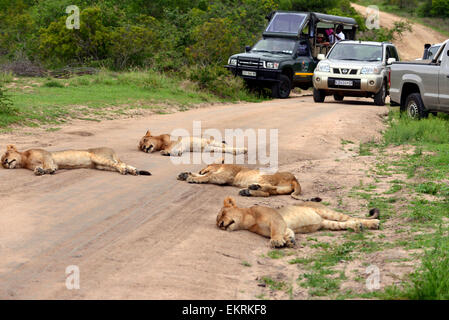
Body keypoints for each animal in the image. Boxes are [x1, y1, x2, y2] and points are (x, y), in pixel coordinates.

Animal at [216, 198, 378, 248]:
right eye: (217, 223)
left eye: (222, 214)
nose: (221, 225)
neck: (248, 221)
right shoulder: (283, 225)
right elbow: (287, 232)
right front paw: (289, 241)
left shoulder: (275, 219)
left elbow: (275, 232)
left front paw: (276, 241)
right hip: (327, 223)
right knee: (345, 223)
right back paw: (358, 227)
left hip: (327, 212)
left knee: (351, 217)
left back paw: (373, 223)